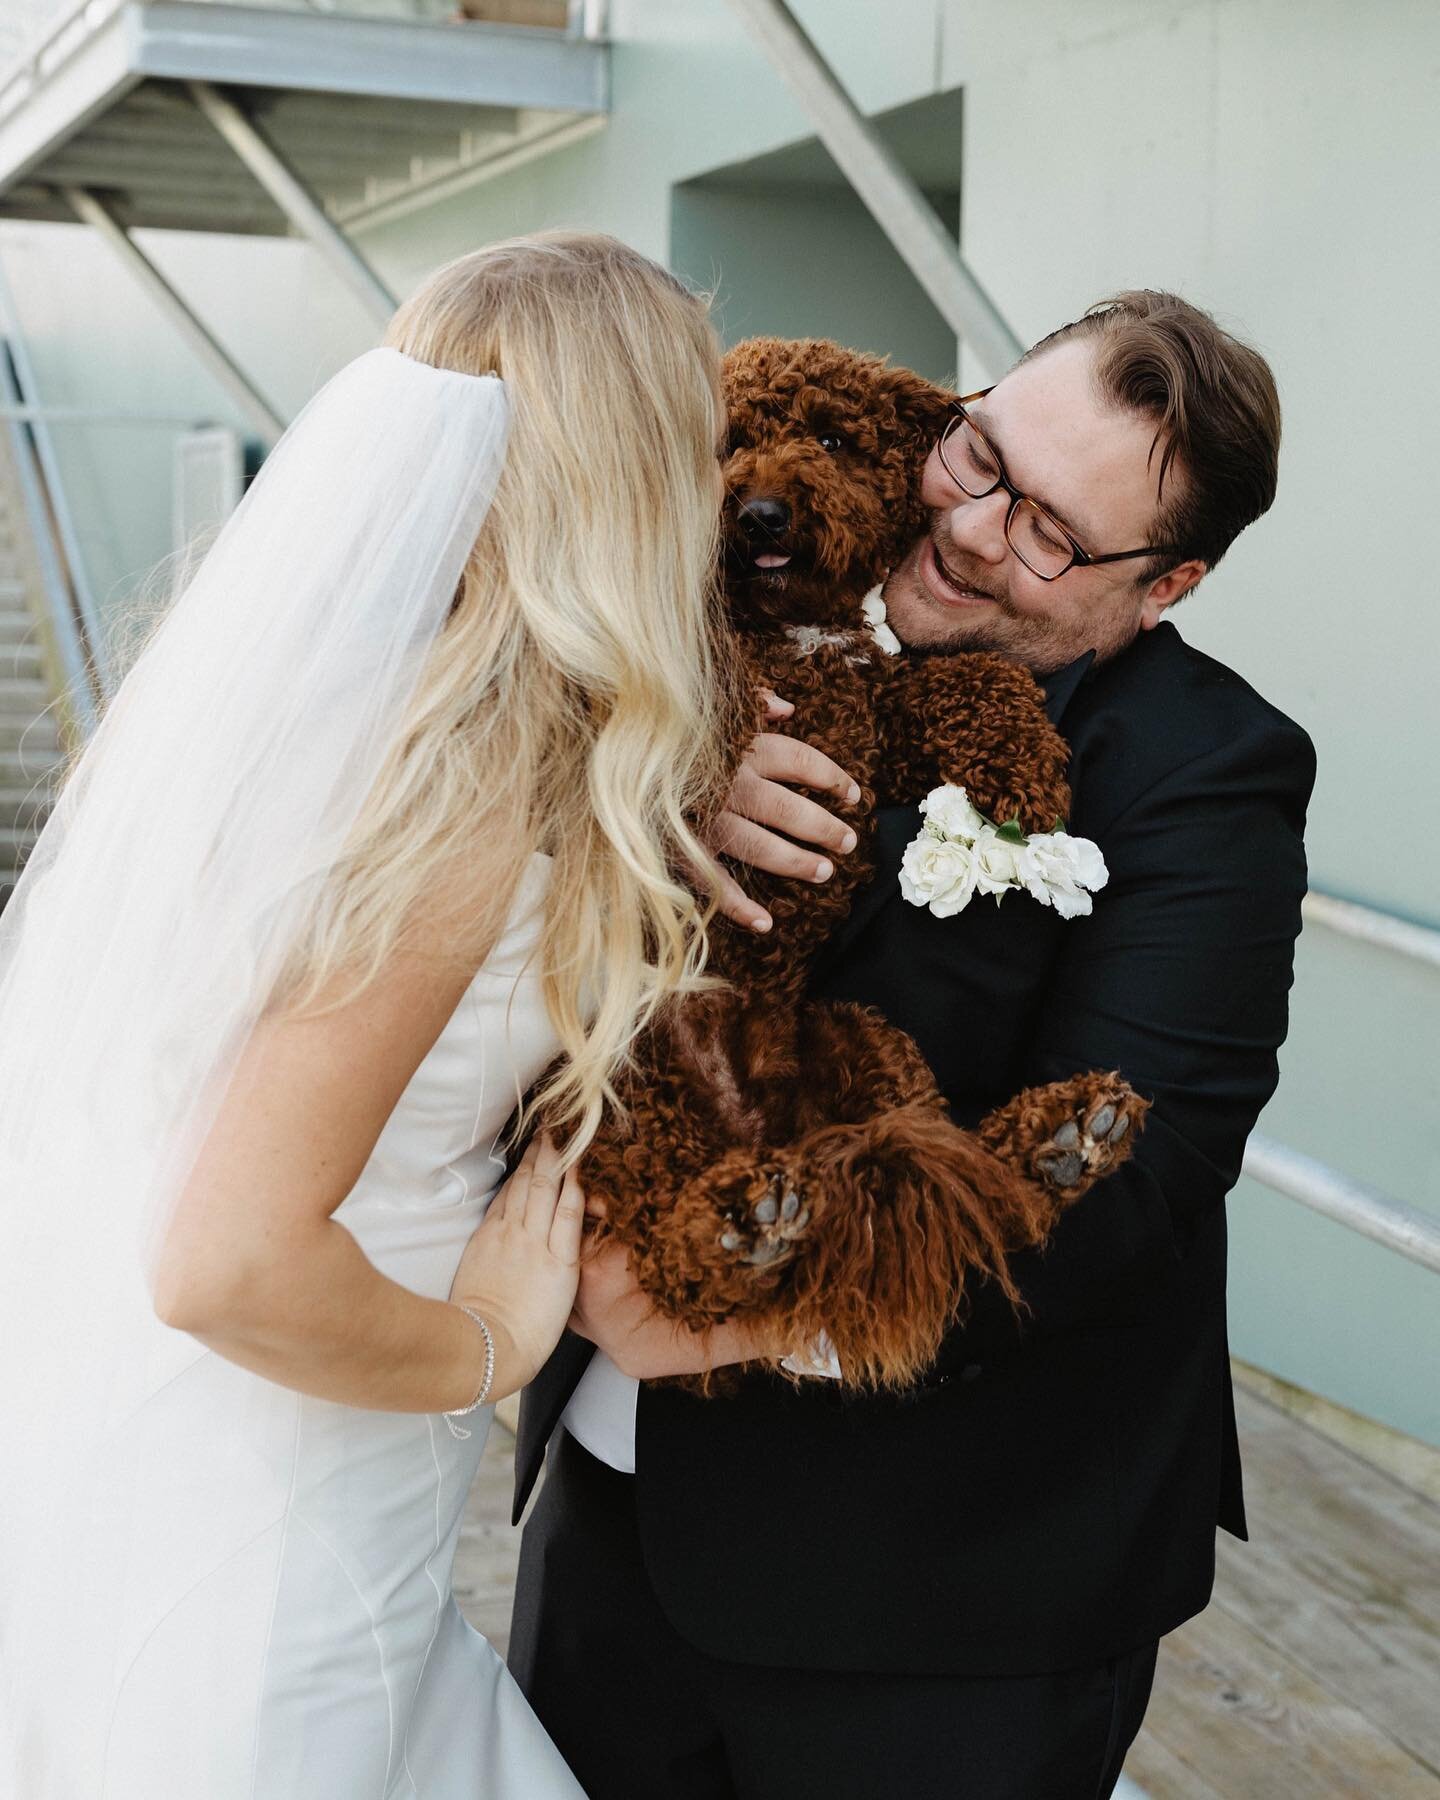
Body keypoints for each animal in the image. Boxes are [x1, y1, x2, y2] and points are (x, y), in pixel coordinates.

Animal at [572, 338, 1144, 1389]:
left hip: (863, 1045)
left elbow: (974, 678)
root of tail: (759, 1130)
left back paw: (1059, 1144)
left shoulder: (876, 724)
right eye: (730, 442)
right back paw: (734, 1234)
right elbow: (693, 702)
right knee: (672, 1262)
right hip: (625, 1093)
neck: (789, 632)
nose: (759, 512)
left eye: (834, 439)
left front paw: (1028, 767)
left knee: (963, 1179)